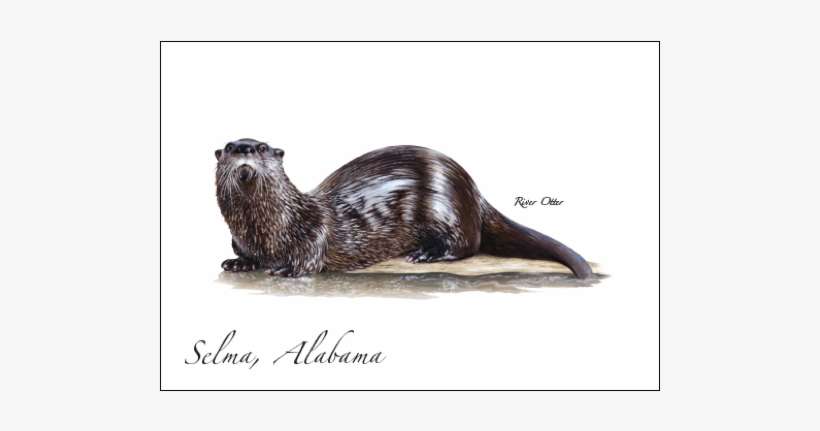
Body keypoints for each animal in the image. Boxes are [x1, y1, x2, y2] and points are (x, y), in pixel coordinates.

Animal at [215, 138, 593, 278]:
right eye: (230, 147)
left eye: (262, 148)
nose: (245, 149)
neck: (269, 227)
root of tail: (473, 190)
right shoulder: (241, 240)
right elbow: (247, 256)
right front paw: (238, 263)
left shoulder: (313, 232)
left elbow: (308, 259)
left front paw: (285, 269)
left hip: (447, 210)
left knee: (467, 244)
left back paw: (425, 253)